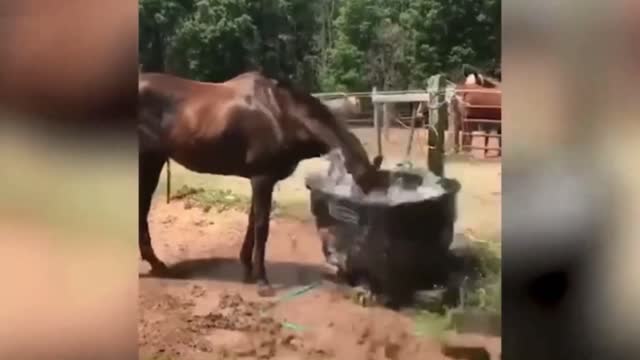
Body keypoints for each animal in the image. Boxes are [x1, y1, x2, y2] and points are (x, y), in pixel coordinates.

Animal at [138, 71, 382, 296]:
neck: (281, 113)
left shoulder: (259, 180)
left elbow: (252, 220)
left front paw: (247, 267)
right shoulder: (262, 178)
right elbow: (262, 227)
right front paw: (262, 281)